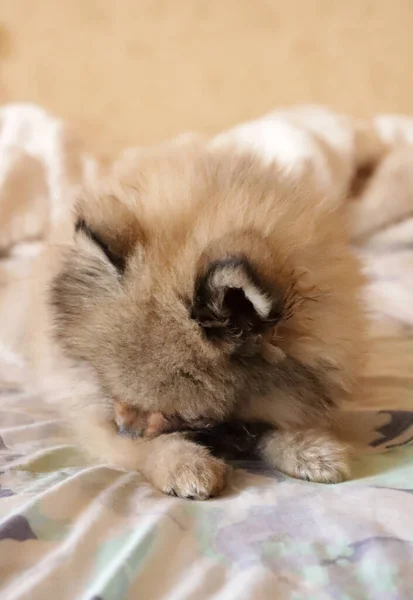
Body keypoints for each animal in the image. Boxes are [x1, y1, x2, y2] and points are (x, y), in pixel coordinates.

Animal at [24, 141, 364, 496]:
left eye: (183, 416)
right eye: (113, 393)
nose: (126, 431)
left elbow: (271, 426)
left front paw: (308, 448)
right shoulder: (90, 412)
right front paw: (182, 462)